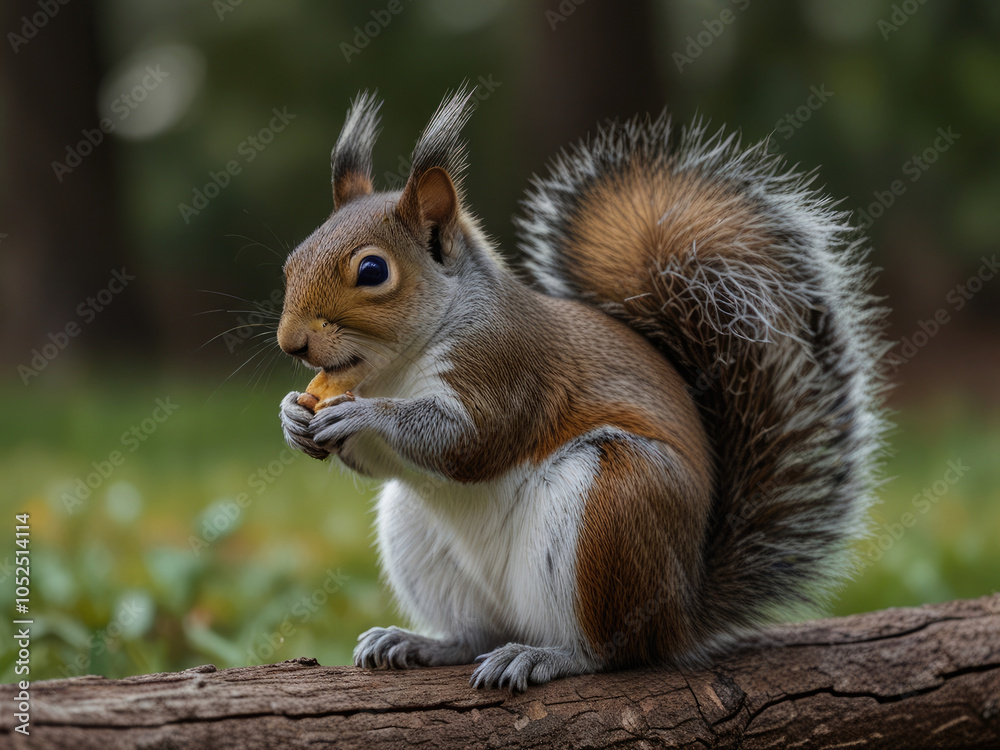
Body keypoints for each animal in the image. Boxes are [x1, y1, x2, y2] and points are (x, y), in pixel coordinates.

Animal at [277, 86, 888, 692]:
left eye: (373, 271)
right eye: (291, 260)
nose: (291, 343)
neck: (395, 370)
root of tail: (682, 614)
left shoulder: (507, 368)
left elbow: (472, 442)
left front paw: (363, 416)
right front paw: (292, 416)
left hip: (612, 507)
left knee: (613, 650)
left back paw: (545, 656)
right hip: (420, 538)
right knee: (476, 633)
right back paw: (422, 642)